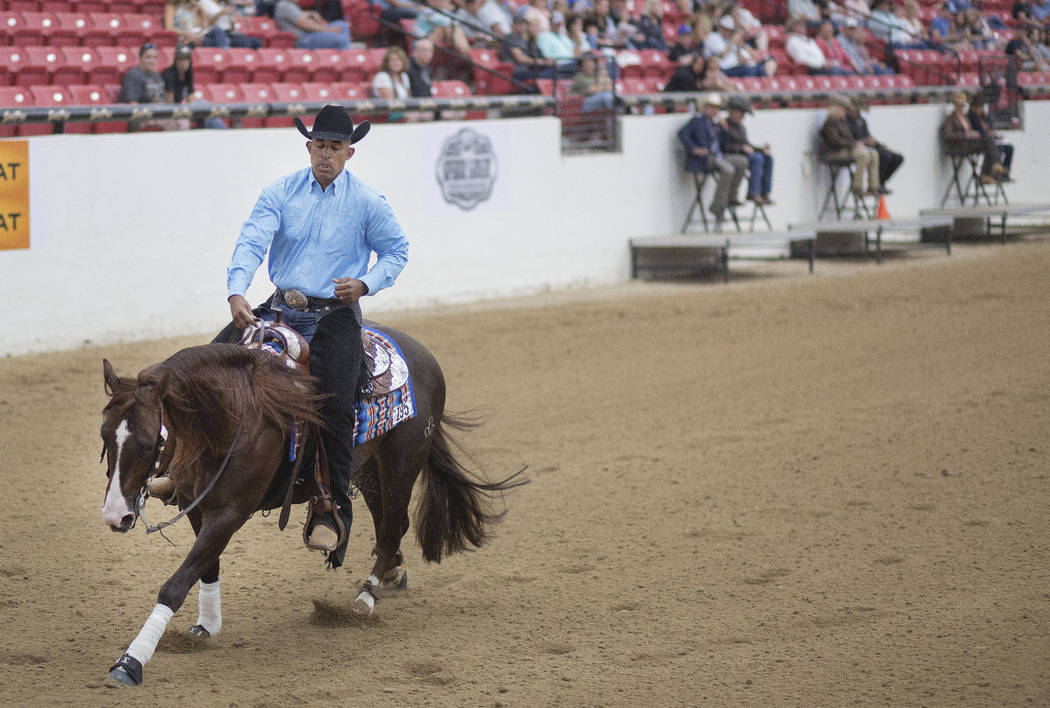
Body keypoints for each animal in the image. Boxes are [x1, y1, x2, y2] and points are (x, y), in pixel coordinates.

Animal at [99, 323, 525, 684]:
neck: (230, 417)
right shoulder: (198, 507)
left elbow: (176, 583)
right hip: (367, 472)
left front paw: (130, 662)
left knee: (390, 529)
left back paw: (364, 599)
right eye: (104, 435)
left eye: (151, 440)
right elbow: (206, 568)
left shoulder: (229, 514)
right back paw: (392, 574)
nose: (116, 516)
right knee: (391, 525)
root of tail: (424, 357)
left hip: (400, 467)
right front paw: (205, 627)